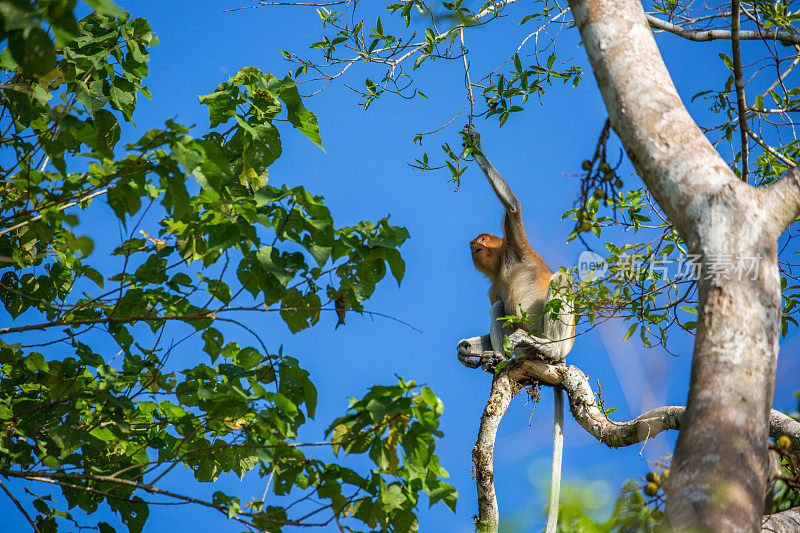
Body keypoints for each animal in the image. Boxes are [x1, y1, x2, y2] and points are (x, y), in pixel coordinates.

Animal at [456, 122, 576, 532]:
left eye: (482, 239)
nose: (472, 244)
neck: (502, 267)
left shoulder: (516, 244)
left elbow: (512, 207)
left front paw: (474, 144)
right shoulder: (493, 284)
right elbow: (495, 302)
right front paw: (466, 350)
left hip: (561, 335)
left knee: (561, 281)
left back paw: (540, 349)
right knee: (496, 308)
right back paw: (497, 359)